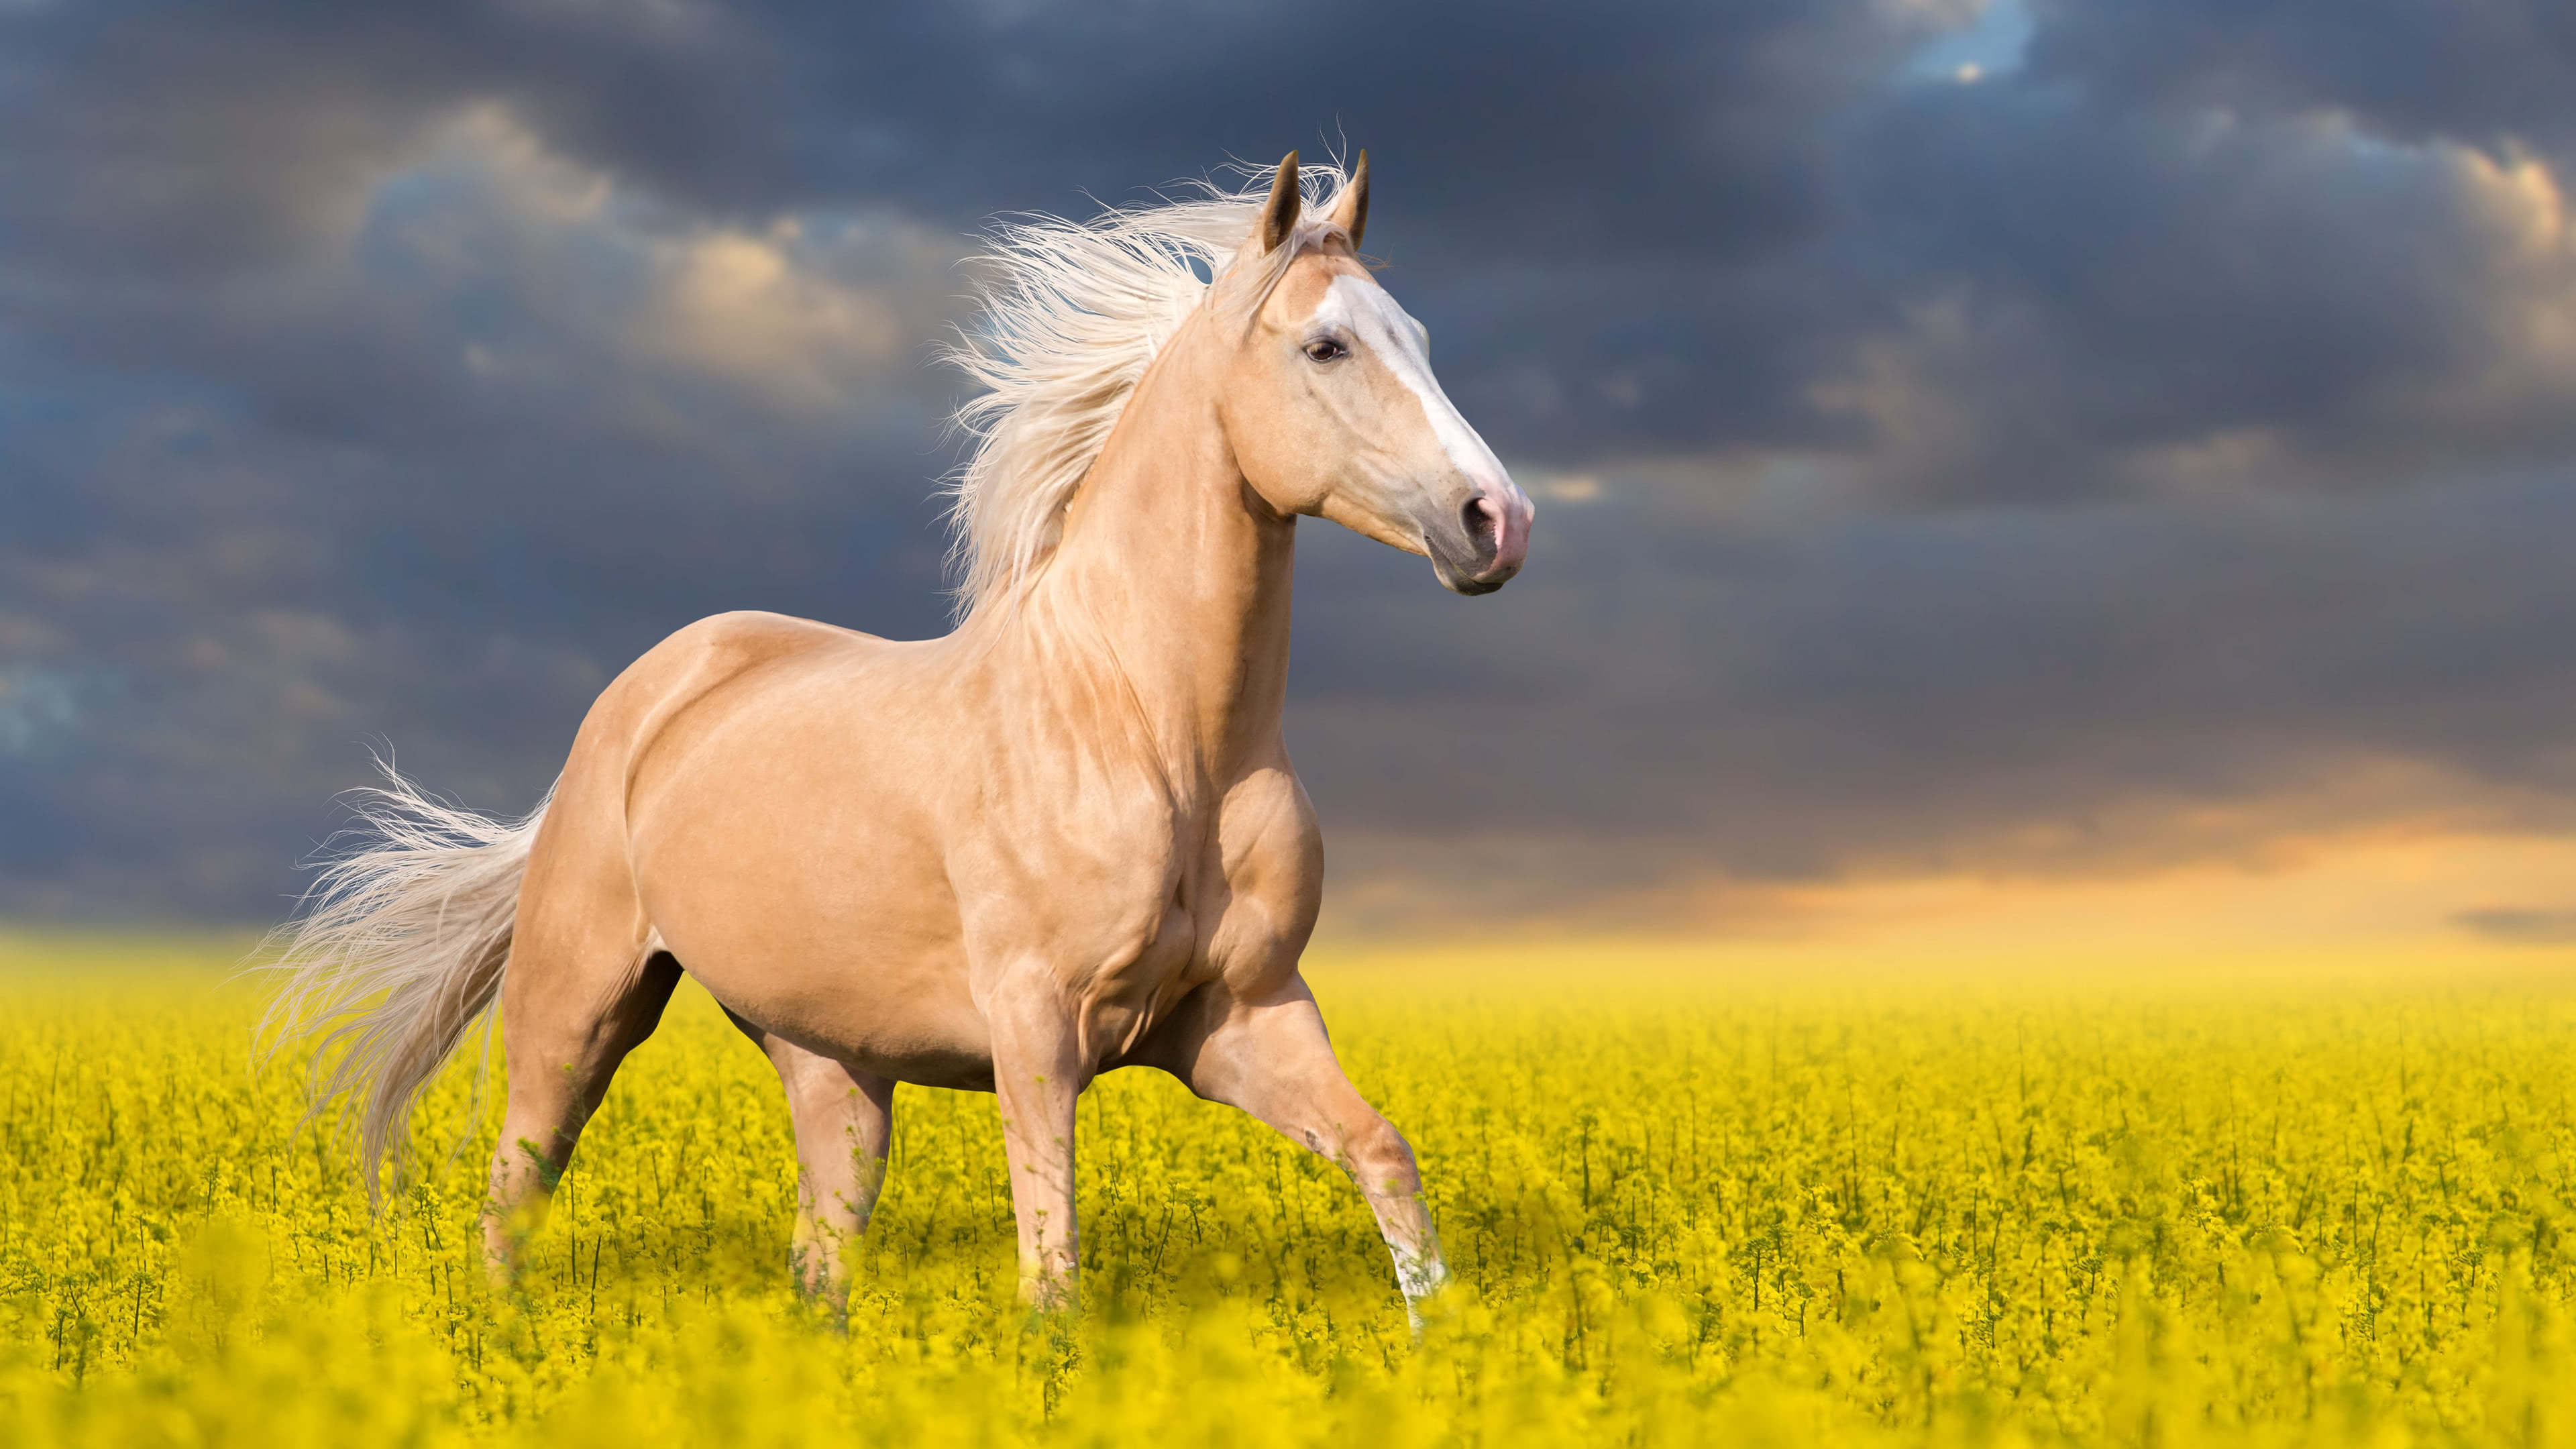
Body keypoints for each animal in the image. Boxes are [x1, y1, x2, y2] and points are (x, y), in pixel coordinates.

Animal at [262, 151, 1534, 1320]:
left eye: (1418, 336)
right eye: (1326, 348)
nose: (1497, 522)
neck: (1152, 732)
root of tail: (639, 701)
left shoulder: (1242, 1019)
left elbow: (1386, 1159)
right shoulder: (1038, 1030)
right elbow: (1052, 1270)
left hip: (830, 1061)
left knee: (821, 1247)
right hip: (576, 1011)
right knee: (512, 1194)